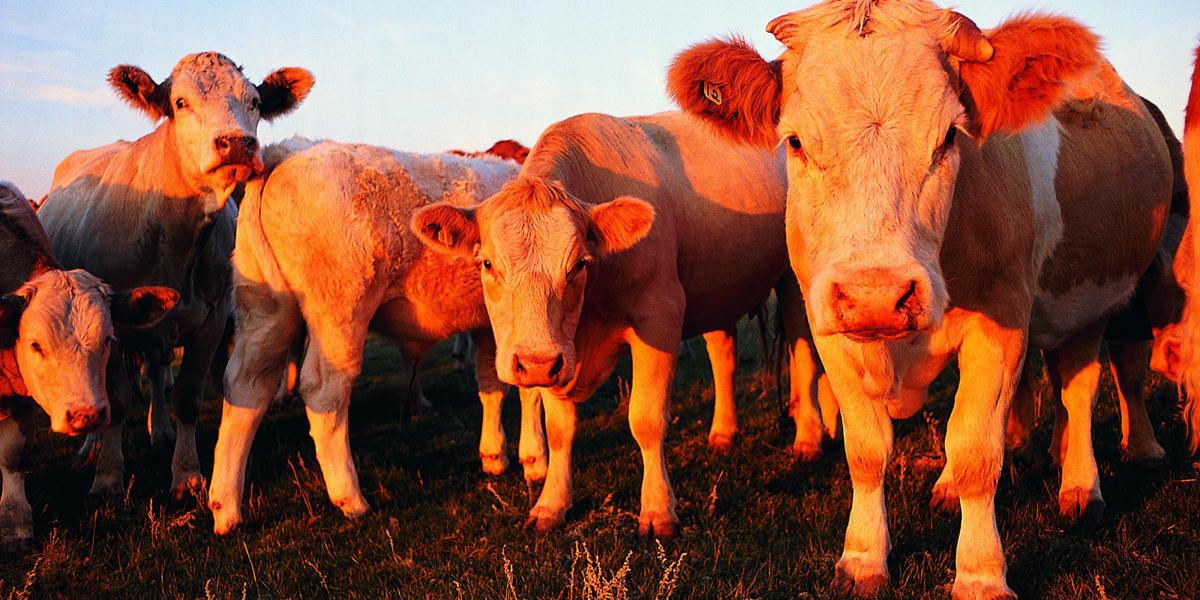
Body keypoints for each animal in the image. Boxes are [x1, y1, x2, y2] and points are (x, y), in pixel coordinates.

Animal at [38, 54, 314, 499]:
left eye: (254, 102)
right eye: (181, 102)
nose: (237, 143)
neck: (173, 233)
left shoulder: (212, 320)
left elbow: (186, 397)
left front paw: (185, 473)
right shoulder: (112, 322)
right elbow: (116, 399)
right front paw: (108, 476)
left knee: (155, 368)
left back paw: (160, 429)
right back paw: (93, 445)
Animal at [408, 110, 830, 537]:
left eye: (577, 265)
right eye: (488, 264)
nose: (534, 363)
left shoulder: (659, 315)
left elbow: (646, 419)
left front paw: (658, 510)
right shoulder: (563, 349)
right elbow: (559, 429)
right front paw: (552, 503)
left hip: (793, 282)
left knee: (804, 356)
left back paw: (809, 439)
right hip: (717, 287)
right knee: (723, 357)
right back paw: (723, 433)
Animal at [672, 2, 1176, 597]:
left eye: (950, 136)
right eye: (794, 141)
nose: (876, 295)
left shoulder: (1003, 320)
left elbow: (978, 451)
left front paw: (981, 574)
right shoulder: (829, 331)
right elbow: (867, 451)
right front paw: (863, 559)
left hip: (1096, 299)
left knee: (1082, 386)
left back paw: (1081, 487)